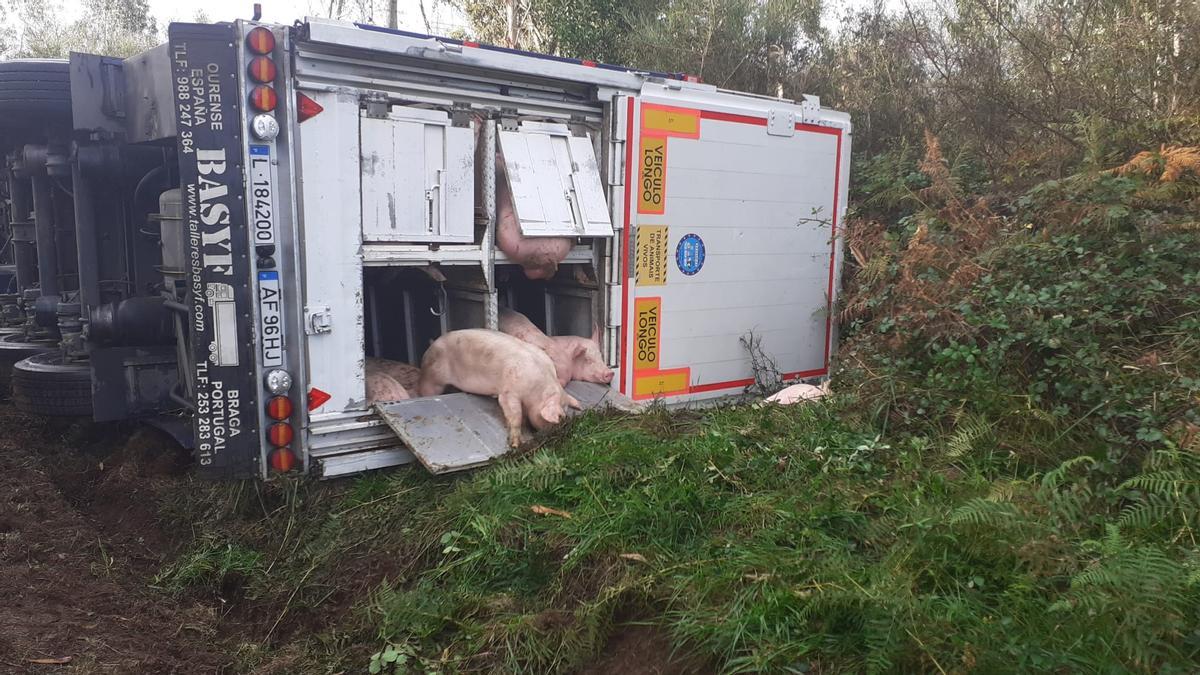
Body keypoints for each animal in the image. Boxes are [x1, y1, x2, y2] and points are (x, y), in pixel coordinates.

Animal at [417, 326, 580, 446]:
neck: (538, 388)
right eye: (560, 417)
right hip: (432, 378)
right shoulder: (509, 391)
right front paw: (515, 444)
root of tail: (432, 344)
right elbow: (514, 413)